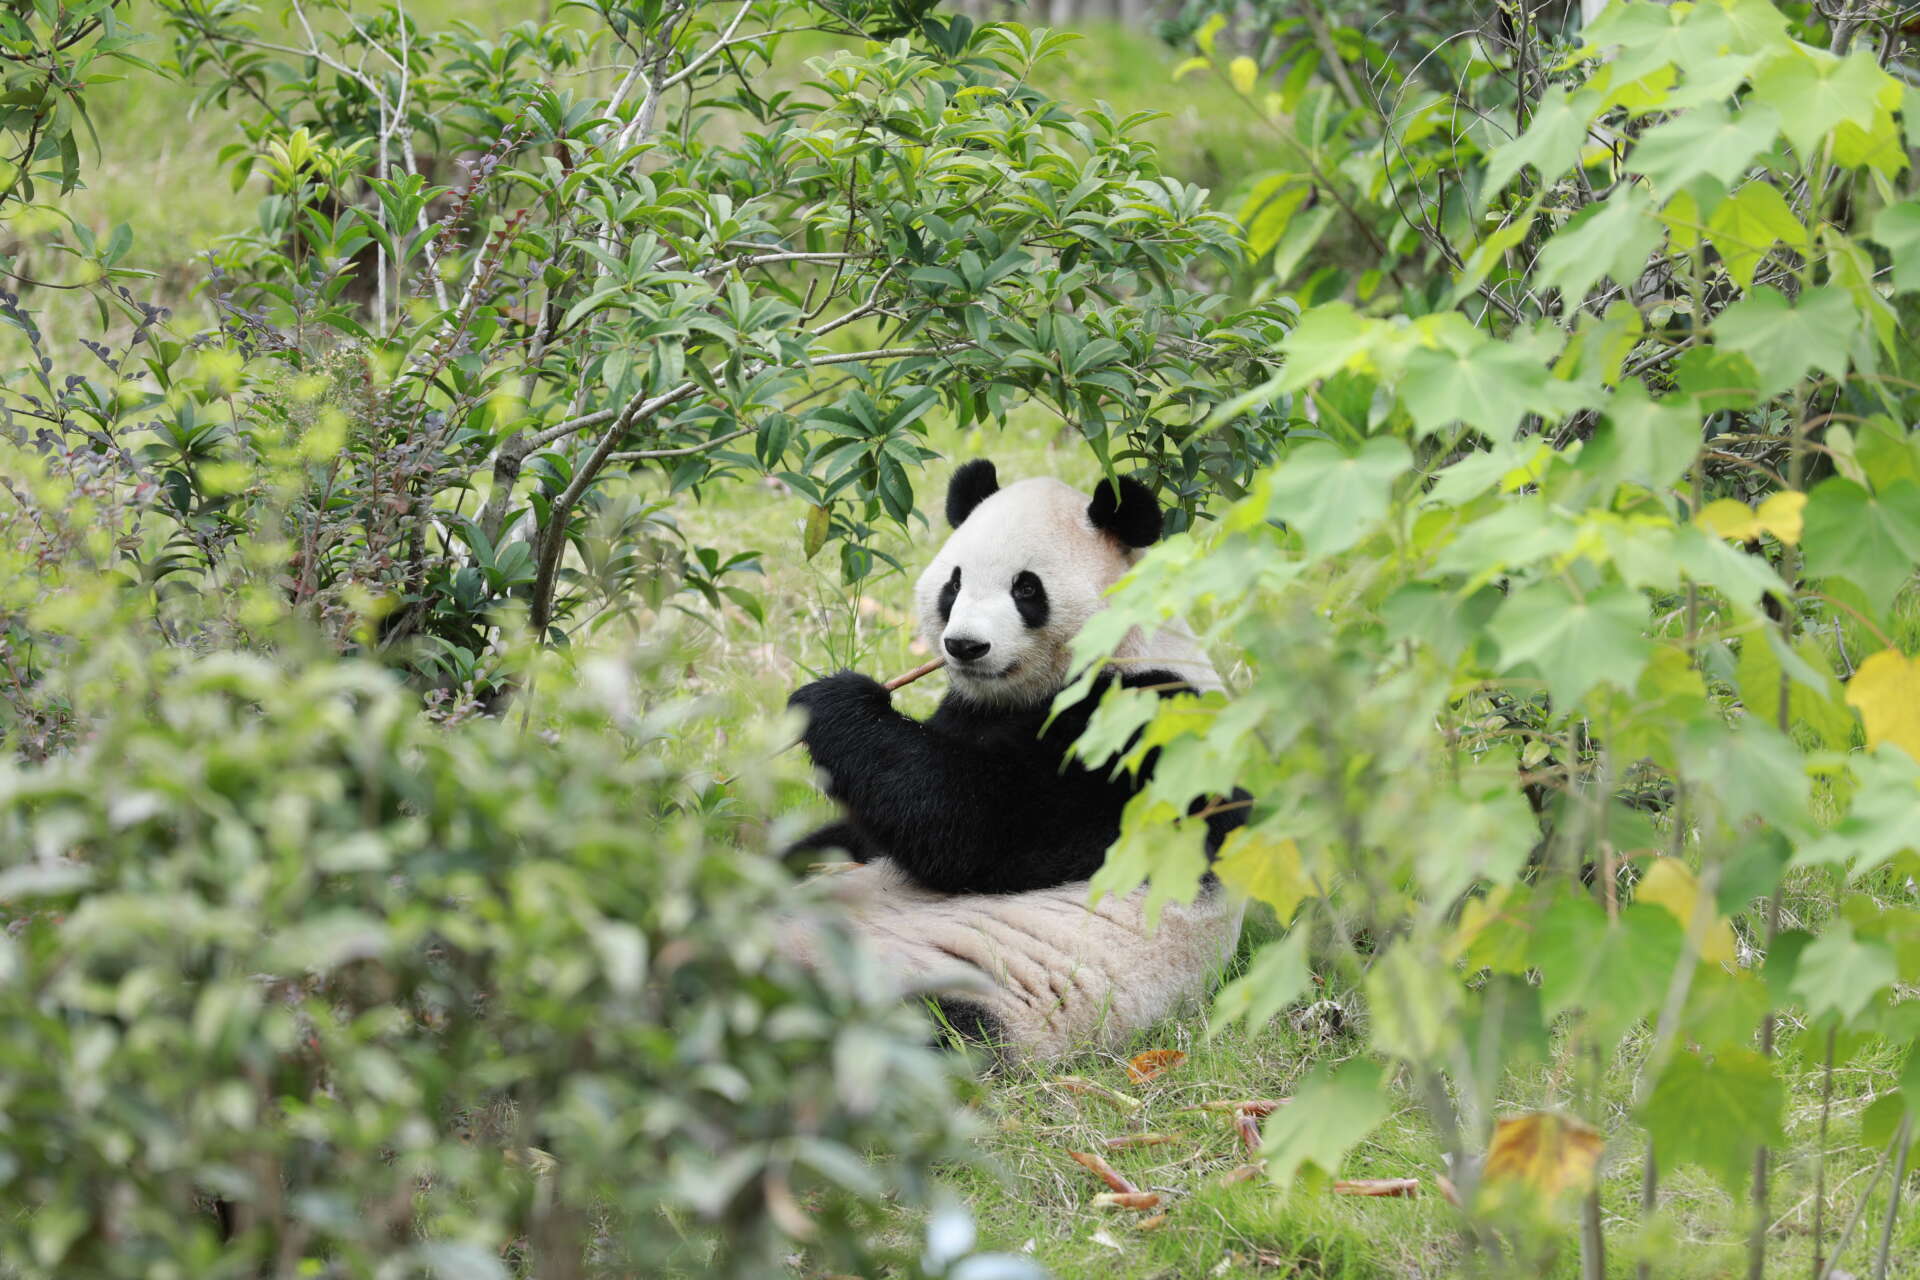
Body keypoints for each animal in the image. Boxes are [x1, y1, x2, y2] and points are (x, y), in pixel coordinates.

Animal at [778, 461, 1249, 1061]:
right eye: (954, 583)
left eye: (1026, 588)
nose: (964, 646)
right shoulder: (969, 710)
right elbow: (867, 828)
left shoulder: (1141, 736)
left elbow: (977, 826)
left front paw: (834, 702)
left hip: (950, 990)